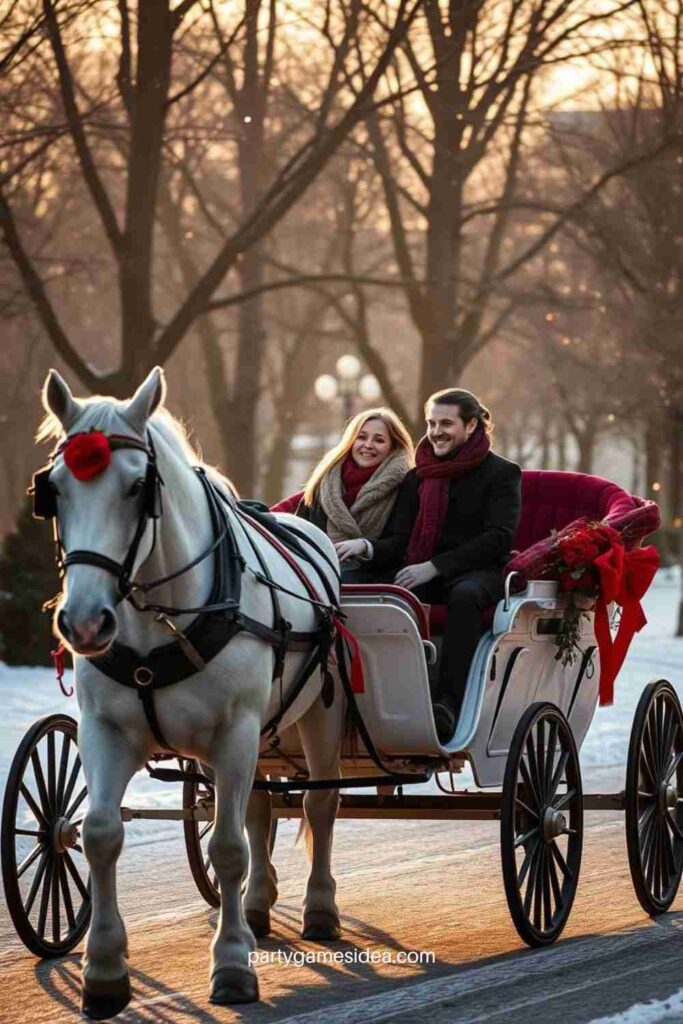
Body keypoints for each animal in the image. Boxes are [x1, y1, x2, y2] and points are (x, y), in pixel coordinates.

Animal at [40, 368, 344, 1015]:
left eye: (137, 488)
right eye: (52, 489)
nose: (84, 623)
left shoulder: (235, 732)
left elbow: (226, 848)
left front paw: (231, 966)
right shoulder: (104, 731)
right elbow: (99, 834)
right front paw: (104, 970)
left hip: (316, 715)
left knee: (319, 805)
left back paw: (319, 907)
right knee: (259, 807)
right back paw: (257, 907)